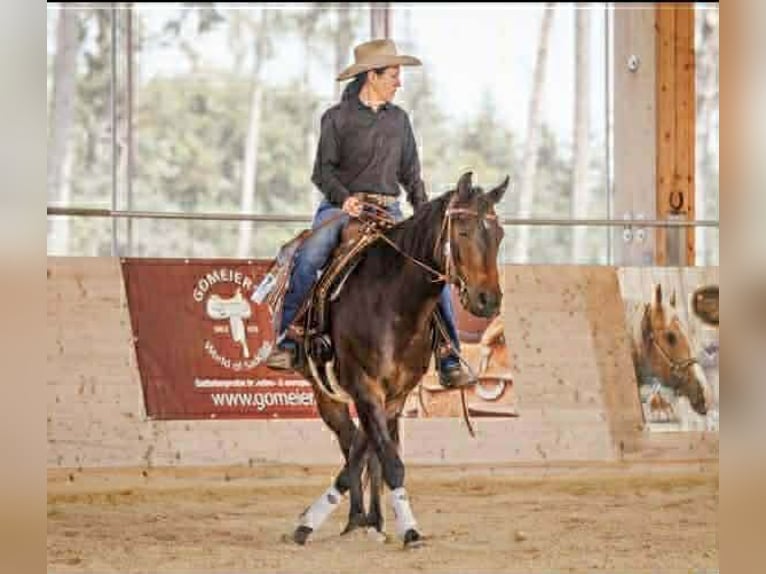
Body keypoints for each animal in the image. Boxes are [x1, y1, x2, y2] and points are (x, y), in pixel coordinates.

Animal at [289, 171, 508, 548]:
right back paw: (351, 519)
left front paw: (378, 521)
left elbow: (377, 454)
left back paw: (367, 520)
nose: (488, 300)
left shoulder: (395, 395)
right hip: (325, 392)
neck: (394, 304)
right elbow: (386, 460)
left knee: (359, 449)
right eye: (462, 230)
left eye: (499, 234)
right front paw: (409, 529)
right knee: (349, 441)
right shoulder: (365, 387)